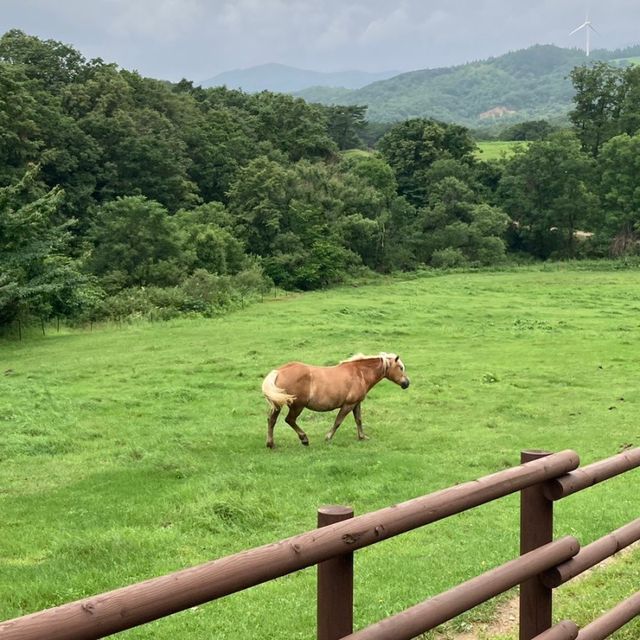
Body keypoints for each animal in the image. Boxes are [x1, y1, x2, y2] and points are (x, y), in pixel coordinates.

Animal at [262, 352, 408, 448]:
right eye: (401, 368)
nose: (407, 383)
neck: (359, 374)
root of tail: (279, 371)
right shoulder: (348, 404)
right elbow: (338, 421)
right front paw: (328, 437)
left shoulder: (356, 403)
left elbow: (358, 420)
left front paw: (362, 437)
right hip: (297, 405)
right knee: (289, 420)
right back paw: (304, 439)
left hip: (278, 404)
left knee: (272, 420)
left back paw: (271, 444)